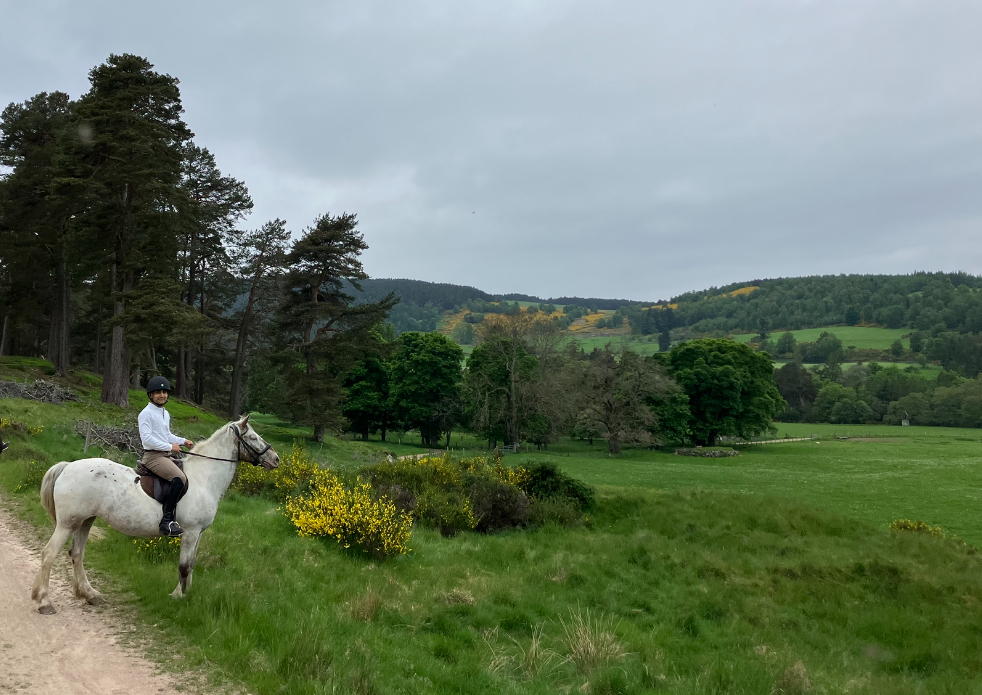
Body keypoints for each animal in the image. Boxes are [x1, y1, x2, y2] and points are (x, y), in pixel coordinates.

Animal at [31, 414, 279, 614]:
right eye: (254, 437)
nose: (276, 459)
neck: (203, 478)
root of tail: (67, 466)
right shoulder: (190, 532)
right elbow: (184, 566)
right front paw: (179, 597)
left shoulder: (198, 534)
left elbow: (192, 563)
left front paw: (188, 592)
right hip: (68, 523)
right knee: (49, 554)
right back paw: (44, 602)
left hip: (86, 520)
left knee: (77, 554)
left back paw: (90, 595)